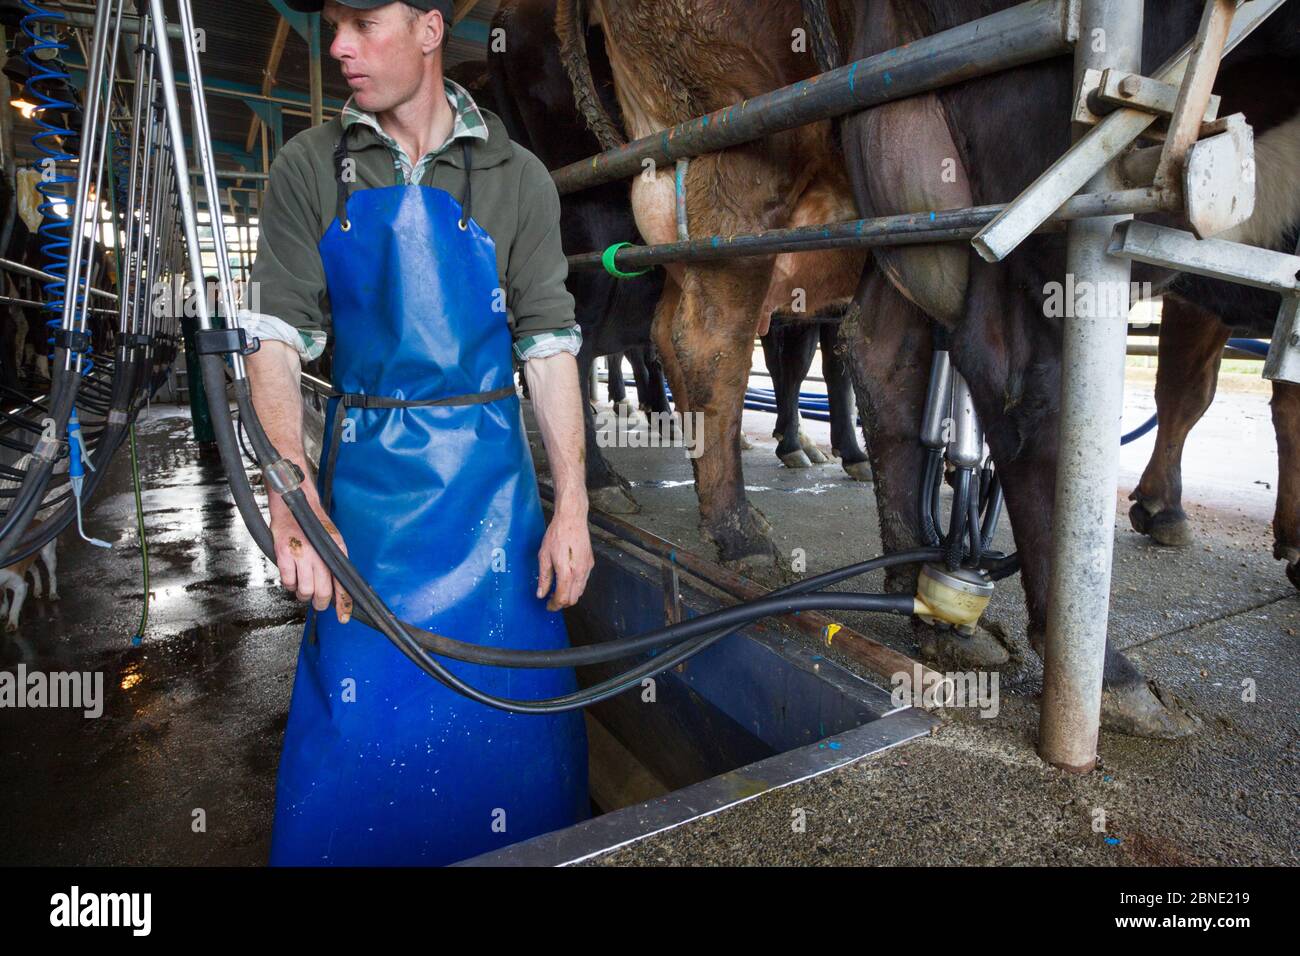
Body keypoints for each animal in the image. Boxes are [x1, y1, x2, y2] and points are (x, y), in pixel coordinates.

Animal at [821, 0, 1300, 738]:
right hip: (1028, 152)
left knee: (879, 348)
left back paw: (930, 605)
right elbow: (1201, 392)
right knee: (1017, 379)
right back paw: (1100, 675)